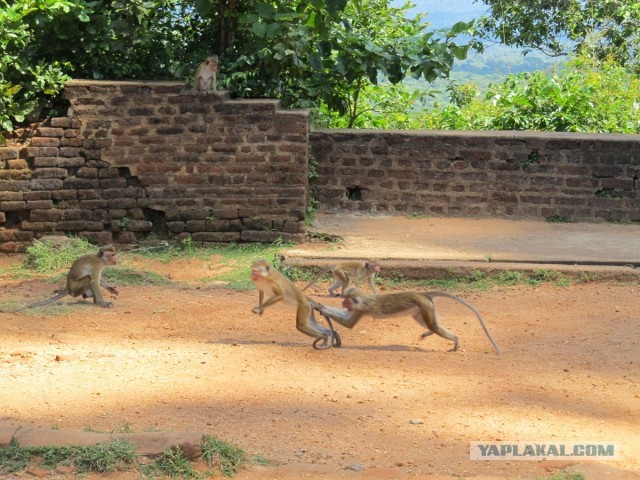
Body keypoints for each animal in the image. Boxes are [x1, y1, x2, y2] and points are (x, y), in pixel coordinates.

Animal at [318, 286, 502, 354]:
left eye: (346, 300)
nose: (342, 302)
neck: (363, 300)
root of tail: (421, 294)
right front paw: (321, 306)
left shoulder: (361, 309)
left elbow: (349, 324)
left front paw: (322, 309)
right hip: (424, 308)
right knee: (431, 324)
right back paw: (429, 333)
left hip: (424, 306)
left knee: (434, 326)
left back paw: (455, 340)